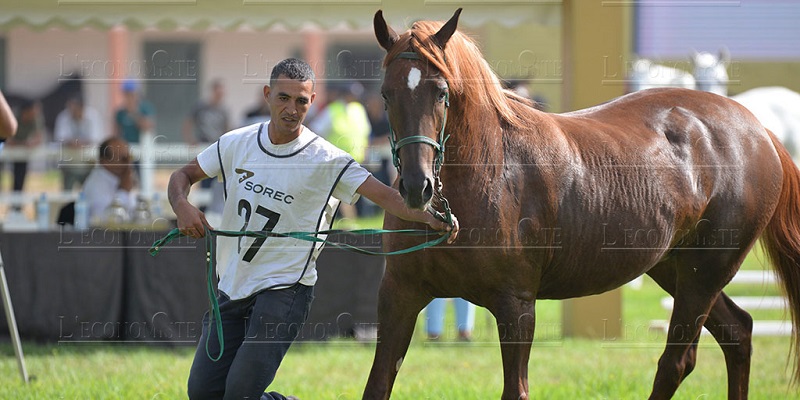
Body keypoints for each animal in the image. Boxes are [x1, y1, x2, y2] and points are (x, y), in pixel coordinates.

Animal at [368, 7, 800, 400]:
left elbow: (516, 389)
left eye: (442, 93)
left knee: (678, 362)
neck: (487, 171)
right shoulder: (399, 296)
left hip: (706, 271)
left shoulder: (516, 307)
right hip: (674, 266)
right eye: (386, 94)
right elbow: (377, 386)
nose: (417, 187)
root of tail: (756, 127)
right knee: (738, 332)